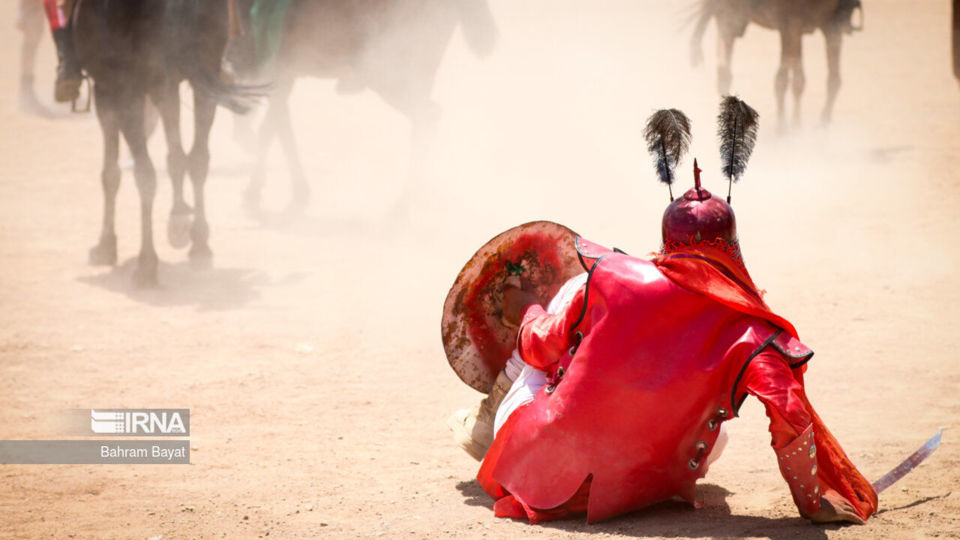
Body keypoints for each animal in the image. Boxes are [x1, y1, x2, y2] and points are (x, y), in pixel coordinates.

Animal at [74, 0, 251, 286]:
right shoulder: (166, 84)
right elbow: (176, 155)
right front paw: (179, 219)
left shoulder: (107, 90)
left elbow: (110, 174)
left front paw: (105, 246)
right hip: (203, 70)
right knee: (199, 157)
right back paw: (199, 244)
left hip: (128, 90)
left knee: (145, 174)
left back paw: (147, 265)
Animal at [233, 0, 498, 213]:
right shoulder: (284, 72)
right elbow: (276, 126)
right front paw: (291, 191)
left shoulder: (281, 69)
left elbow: (274, 128)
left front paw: (259, 190)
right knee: (426, 122)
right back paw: (417, 195)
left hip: (385, 72)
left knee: (429, 116)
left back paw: (401, 207)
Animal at [690, 0, 862, 129]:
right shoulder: (793, 25)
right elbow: (789, 80)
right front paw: (788, 127)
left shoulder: (814, 25)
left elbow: (821, 79)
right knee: (724, 71)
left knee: (723, 72)